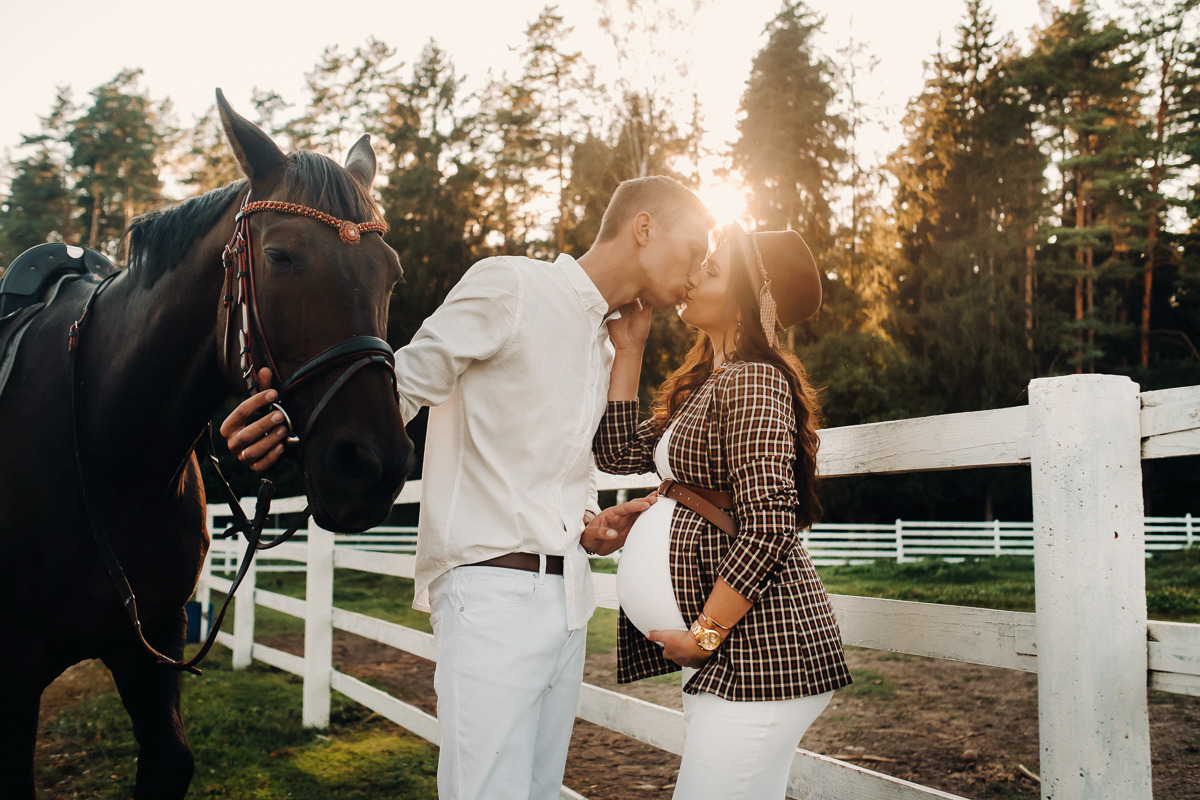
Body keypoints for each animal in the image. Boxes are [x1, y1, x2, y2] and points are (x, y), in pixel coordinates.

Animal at [0, 90, 415, 796]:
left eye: (390, 273)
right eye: (279, 257)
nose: (372, 466)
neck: (113, 453)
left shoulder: (152, 643)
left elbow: (171, 758)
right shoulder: (15, 674)